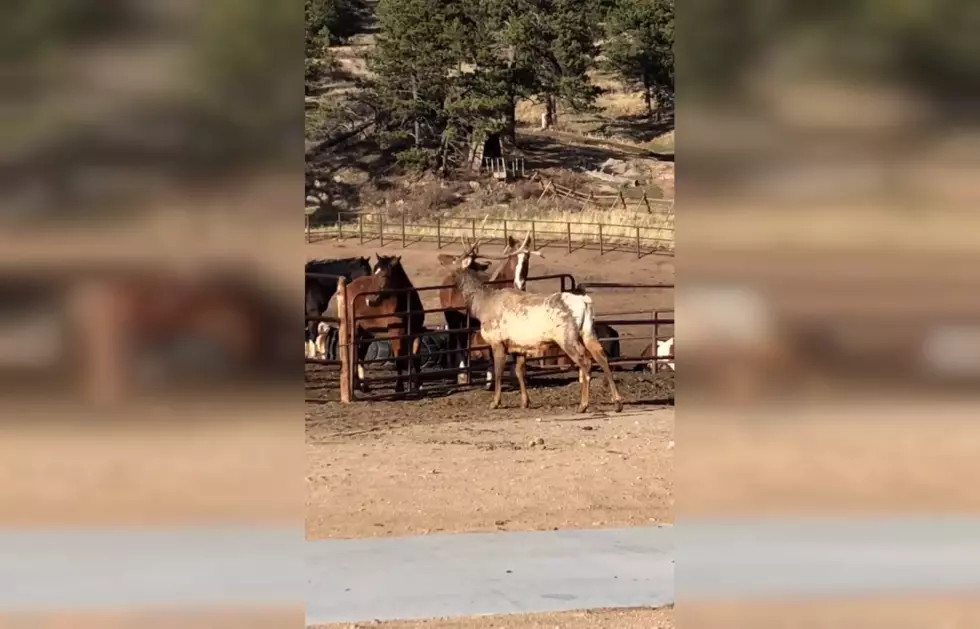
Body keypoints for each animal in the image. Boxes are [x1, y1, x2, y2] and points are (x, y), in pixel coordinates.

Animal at [344, 254, 422, 392]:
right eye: (374, 273)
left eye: (384, 275)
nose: (369, 300)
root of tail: (348, 286)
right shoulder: (396, 334)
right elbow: (399, 358)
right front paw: (399, 387)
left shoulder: (416, 333)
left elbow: (415, 357)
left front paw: (418, 384)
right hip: (354, 330)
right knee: (354, 353)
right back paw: (356, 384)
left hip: (368, 333)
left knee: (360, 354)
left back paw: (362, 385)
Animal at [440, 248, 624, 414]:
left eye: (455, 259)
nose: (441, 259)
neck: (481, 306)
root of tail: (585, 302)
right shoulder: (519, 346)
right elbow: (519, 372)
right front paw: (525, 402)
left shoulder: (497, 341)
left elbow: (499, 372)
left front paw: (495, 402)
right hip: (588, 331)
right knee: (601, 356)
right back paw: (617, 402)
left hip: (567, 336)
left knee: (585, 361)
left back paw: (583, 405)